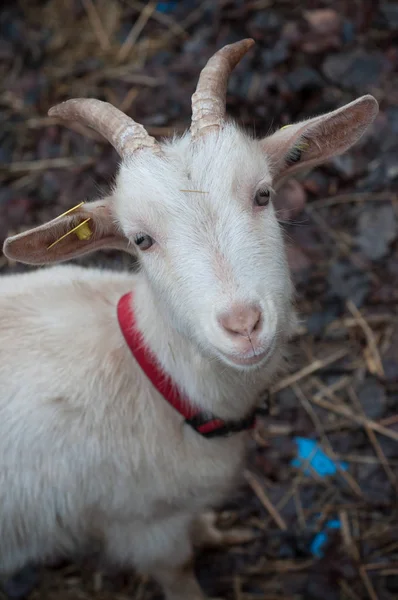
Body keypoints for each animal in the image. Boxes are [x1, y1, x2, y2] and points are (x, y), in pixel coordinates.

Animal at [2, 39, 376, 596]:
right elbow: (179, 570)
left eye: (263, 194)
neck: (156, 377)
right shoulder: (146, 528)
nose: (243, 325)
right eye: (140, 239)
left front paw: (216, 533)